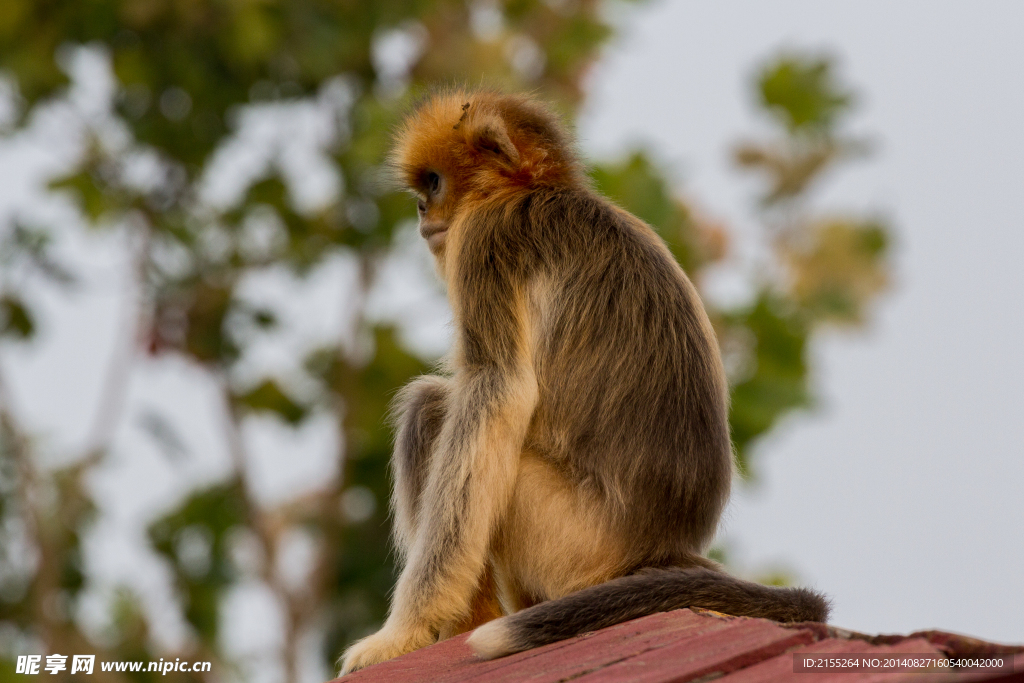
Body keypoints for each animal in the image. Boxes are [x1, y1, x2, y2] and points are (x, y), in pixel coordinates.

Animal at [339, 90, 827, 671]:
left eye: (434, 183)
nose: (420, 209)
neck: (532, 191)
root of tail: (663, 547)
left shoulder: (484, 240)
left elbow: (497, 389)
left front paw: (404, 633)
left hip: (569, 538)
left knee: (433, 406)